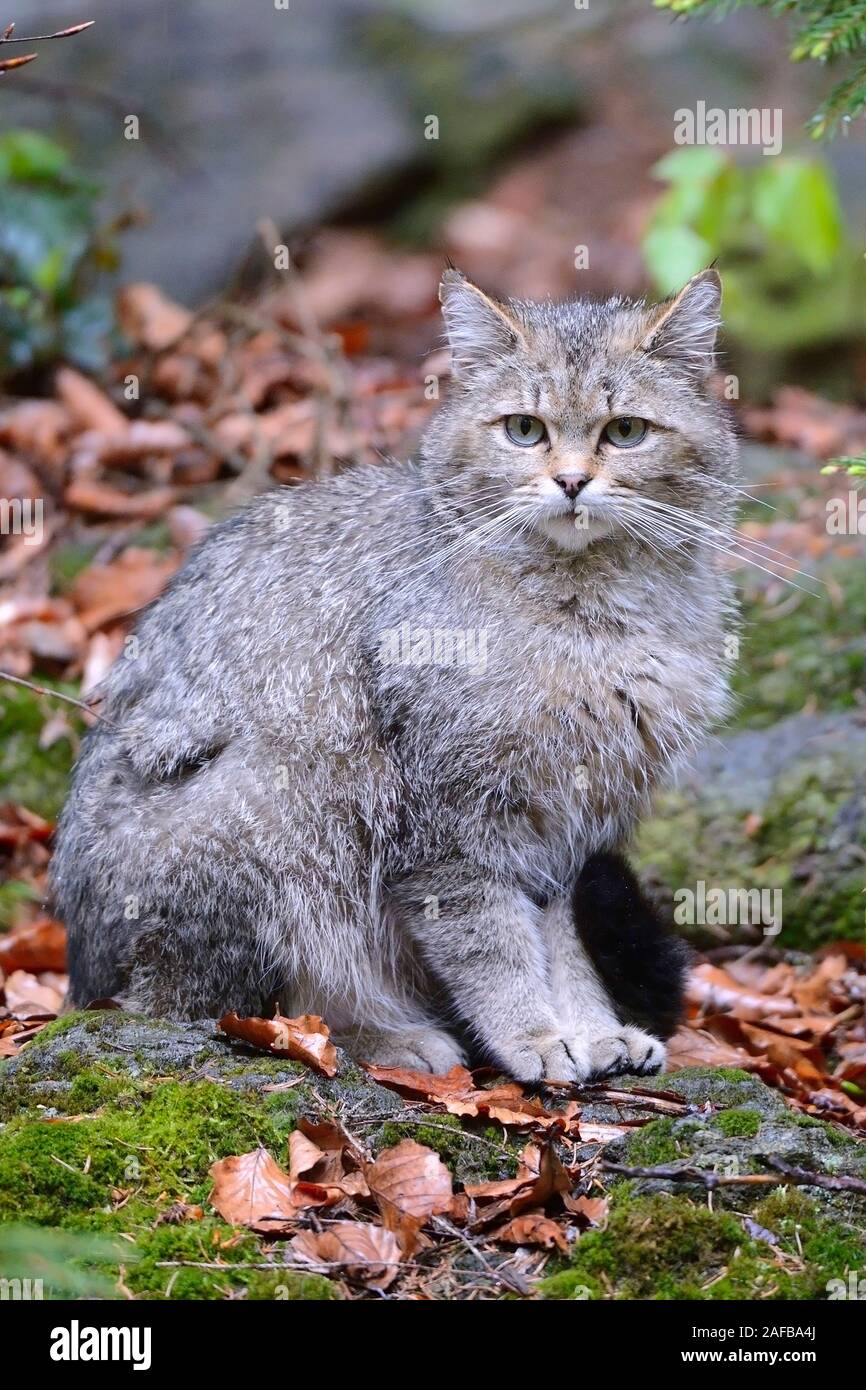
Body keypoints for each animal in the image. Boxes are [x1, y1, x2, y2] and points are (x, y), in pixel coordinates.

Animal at [50, 265, 733, 1078]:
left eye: (625, 431)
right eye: (524, 429)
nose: (571, 481)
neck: (591, 613)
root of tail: (76, 976)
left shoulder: (572, 830)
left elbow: (565, 945)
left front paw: (594, 1030)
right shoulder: (450, 820)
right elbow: (491, 945)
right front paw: (532, 1036)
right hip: (275, 806)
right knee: (220, 1011)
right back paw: (388, 1037)